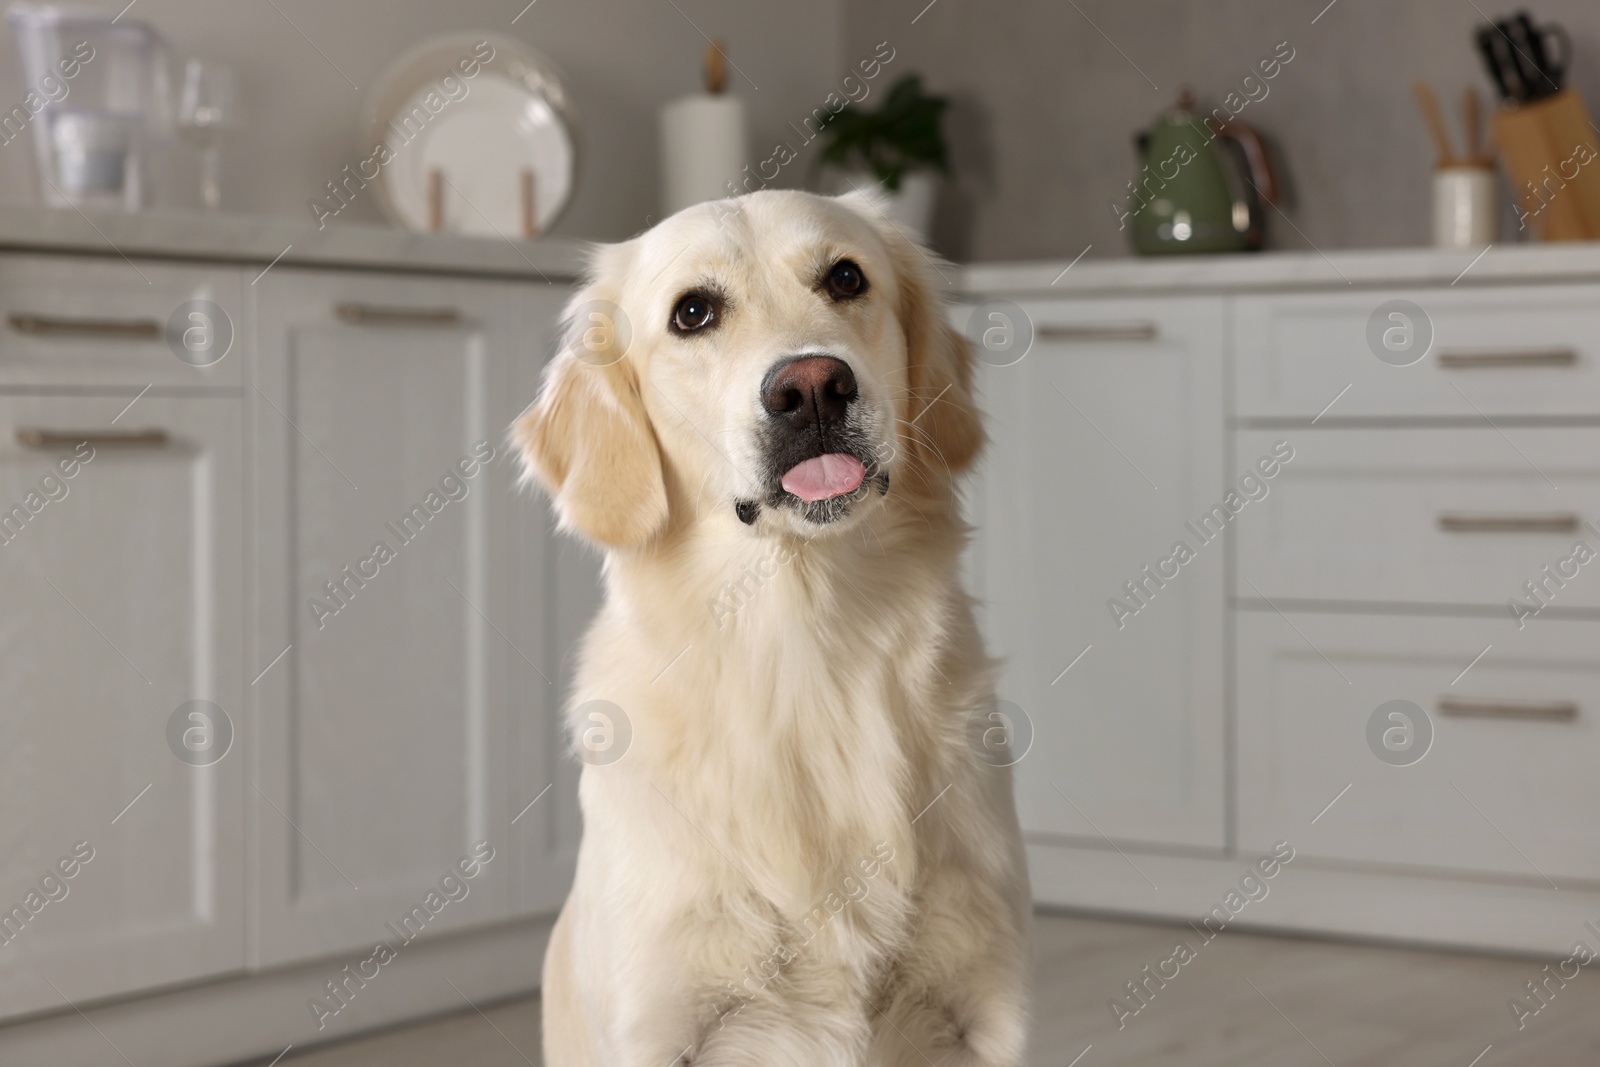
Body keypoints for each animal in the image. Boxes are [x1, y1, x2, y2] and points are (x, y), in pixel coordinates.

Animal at [518, 187, 1030, 1062]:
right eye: (692, 312)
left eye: (846, 277)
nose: (813, 386)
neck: (804, 647)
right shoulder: (660, 1023)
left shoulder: (987, 1002)